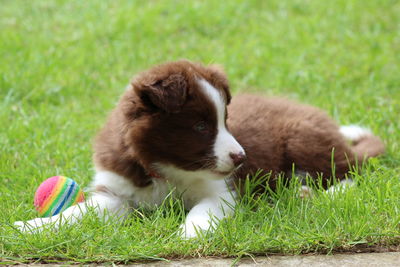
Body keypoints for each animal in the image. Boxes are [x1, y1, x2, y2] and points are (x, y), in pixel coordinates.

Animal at [15, 60, 384, 239]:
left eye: (226, 120)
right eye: (201, 127)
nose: (242, 158)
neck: (163, 169)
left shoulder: (221, 191)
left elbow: (202, 212)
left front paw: (188, 234)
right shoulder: (116, 192)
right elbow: (80, 212)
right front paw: (34, 227)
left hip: (303, 139)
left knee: (348, 172)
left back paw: (318, 193)